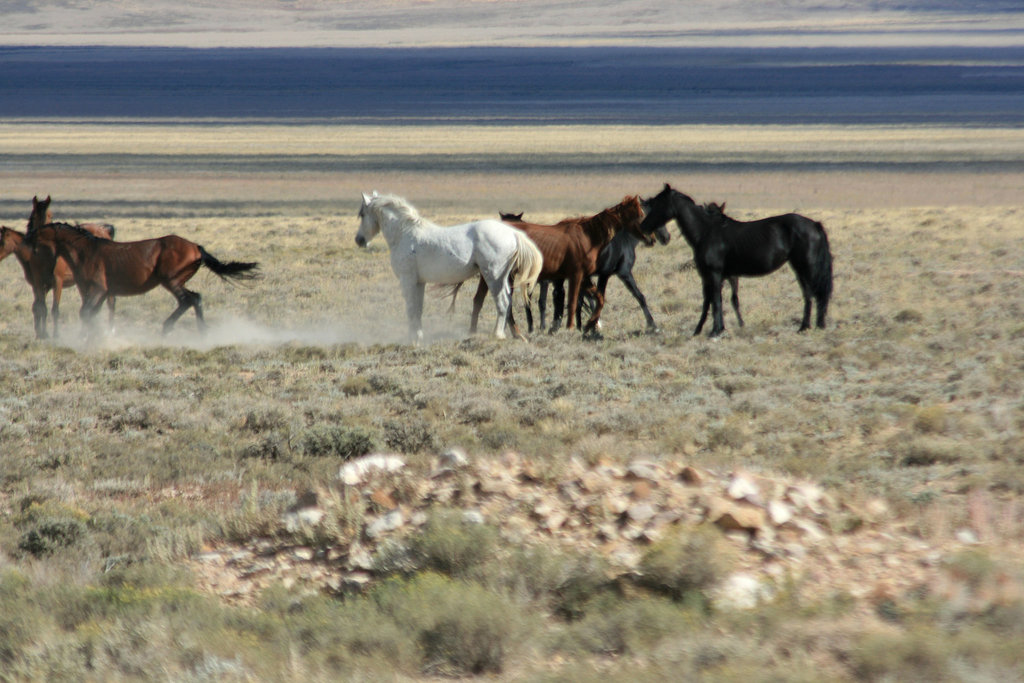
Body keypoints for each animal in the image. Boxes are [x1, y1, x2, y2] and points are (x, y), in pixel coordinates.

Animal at [29, 222, 260, 335]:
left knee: (189, 299)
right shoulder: (98, 293)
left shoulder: (97, 290)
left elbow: (86, 314)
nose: (28, 243)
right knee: (196, 298)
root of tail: (196, 248)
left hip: (171, 281)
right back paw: (201, 330)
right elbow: (92, 314)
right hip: (176, 281)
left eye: (38, 233)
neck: (86, 251)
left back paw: (168, 328)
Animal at [354, 191, 544, 342]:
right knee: (507, 301)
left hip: (493, 277)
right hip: (502, 277)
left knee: (503, 302)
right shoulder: (419, 282)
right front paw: (419, 335)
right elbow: (418, 309)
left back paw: (498, 335)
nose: (359, 240)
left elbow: (411, 309)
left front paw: (412, 338)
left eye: (362, 214)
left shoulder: (407, 280)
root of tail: (512, 233)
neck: (405, 234)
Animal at [638, 185, 831, 337]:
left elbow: (716, 301)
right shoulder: (710, 276)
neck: (706, 232)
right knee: (808, 294)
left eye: (658, 204)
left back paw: (812, 326)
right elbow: (709, 302)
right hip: (799, 268)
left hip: (806, 266)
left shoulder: (715, 274)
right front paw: (702, 330)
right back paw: (804, 327)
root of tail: (814, 224)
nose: (643, 226)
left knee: (815, 293)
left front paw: (715, 331)